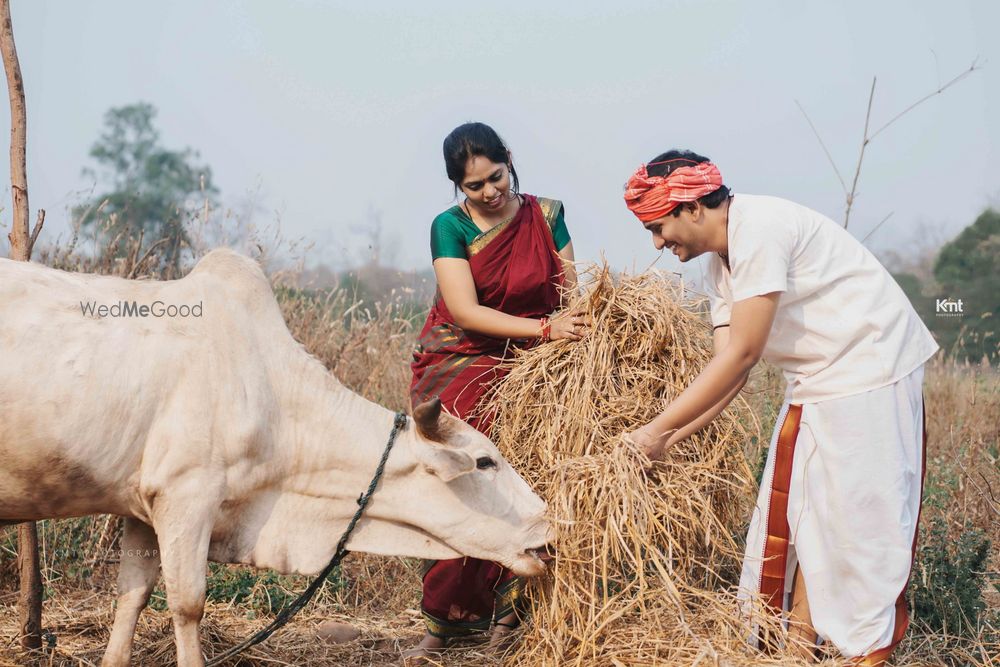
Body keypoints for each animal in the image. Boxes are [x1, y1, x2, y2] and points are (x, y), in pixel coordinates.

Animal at [0, 250, 556, 667]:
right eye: (485, 462)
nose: (548, 527)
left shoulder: (141, 506)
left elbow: (131, 598)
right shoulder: (186, 495)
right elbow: (187, 604)